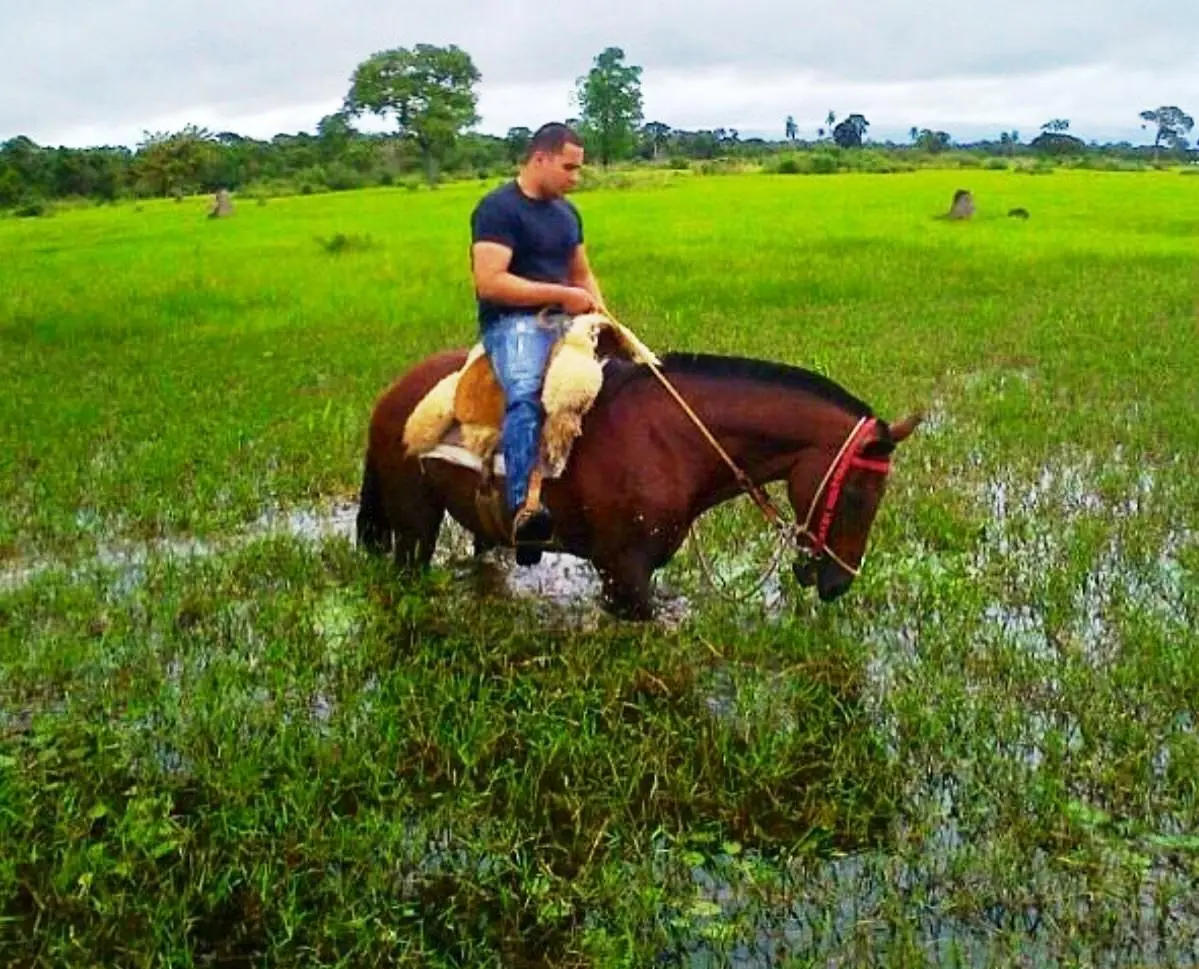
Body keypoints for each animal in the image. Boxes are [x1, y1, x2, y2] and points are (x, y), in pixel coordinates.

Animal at [354, 350, 916, 618]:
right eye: (859, 494)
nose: (839, 583)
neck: (672, 440)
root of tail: (391, 394)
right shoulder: (624, 574)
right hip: (415, 528)